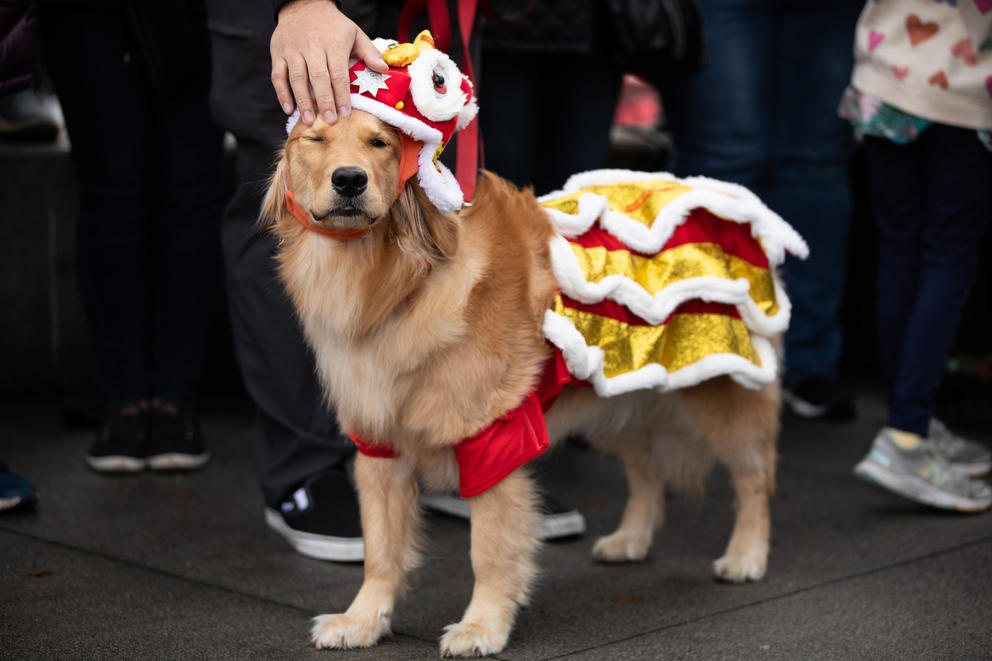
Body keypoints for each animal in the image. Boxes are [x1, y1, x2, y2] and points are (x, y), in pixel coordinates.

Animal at [262, 109, 784, 656]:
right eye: (315, 139)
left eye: (379, 142)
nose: (349, 180)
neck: (397, 284)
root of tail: (724, 195)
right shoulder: (379, 445)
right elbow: (381, 550)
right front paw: (362, 620)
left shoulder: (493, 438)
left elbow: (489, 550)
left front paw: (482, 626)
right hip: (617, 401)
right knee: (647, 474)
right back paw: (631, 539)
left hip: (727, 392)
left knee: (755, 479)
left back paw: (746, 555)